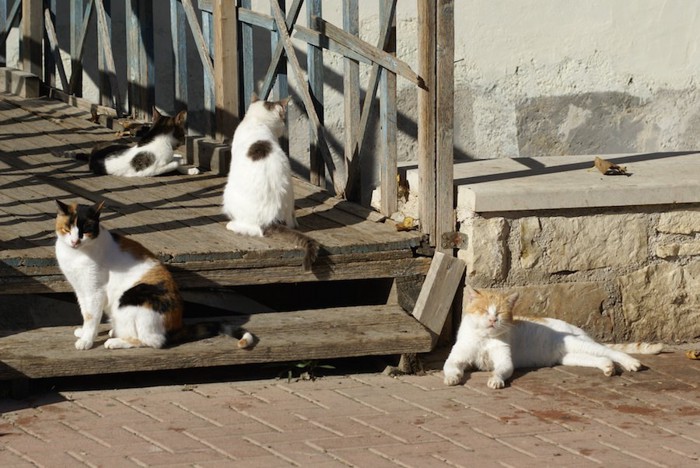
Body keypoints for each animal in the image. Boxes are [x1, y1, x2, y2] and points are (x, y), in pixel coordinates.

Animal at [54, 199, 253, 350]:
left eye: (86, 230)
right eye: (67, 229)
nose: (75, 241)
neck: (75, 254)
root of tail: (178, 326)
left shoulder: (94, 291)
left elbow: (91, 316)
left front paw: (86, 340)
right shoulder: (81, 290)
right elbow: (85, 313)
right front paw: (84, 332)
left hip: (130, 299)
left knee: (152, 341)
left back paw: (115, 341)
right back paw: (114, 331)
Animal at [65, 108, 198, 177]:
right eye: (183, 134)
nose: (183, 141)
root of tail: (92, 155)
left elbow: (176, 162)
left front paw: (190, 169)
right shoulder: (149, 171)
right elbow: (174, 164)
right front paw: (182, 163)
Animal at [223, 94, 318, 270]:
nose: (284, 126)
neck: (257, 122)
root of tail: (272, 219)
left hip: (228, 194)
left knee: (253, 229)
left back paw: (231, 225)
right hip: (289, 193)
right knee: (291, 221)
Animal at [442, 288, 660, 390]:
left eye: (500, 313)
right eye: (484, 310)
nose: (492, 319)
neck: (485, 338)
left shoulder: (505, 361)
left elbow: (500, 371)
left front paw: (495, 380)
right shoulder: (456, 358)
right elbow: (451, 368)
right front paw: (452, 378)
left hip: (577, 343)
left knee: (611, 351)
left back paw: (631, 363)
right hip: (569, 356)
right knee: (601, 358)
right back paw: (608, 368)